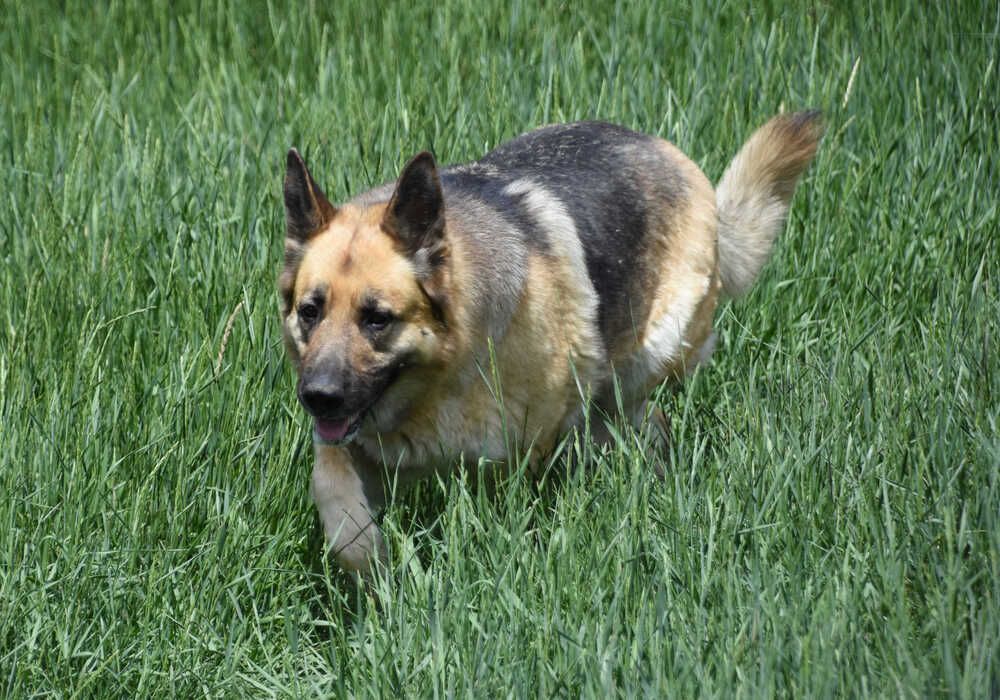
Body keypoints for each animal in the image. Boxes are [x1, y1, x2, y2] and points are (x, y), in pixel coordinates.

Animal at [280, 110, 820, 576]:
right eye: (310, 312)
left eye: (377, 319)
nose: (318, 397)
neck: (443, 375)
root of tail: (670, 154)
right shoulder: (349, 446)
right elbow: (338, 506)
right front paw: (373, 573)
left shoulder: (516, 457)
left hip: (641, 362)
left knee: (643, 419)